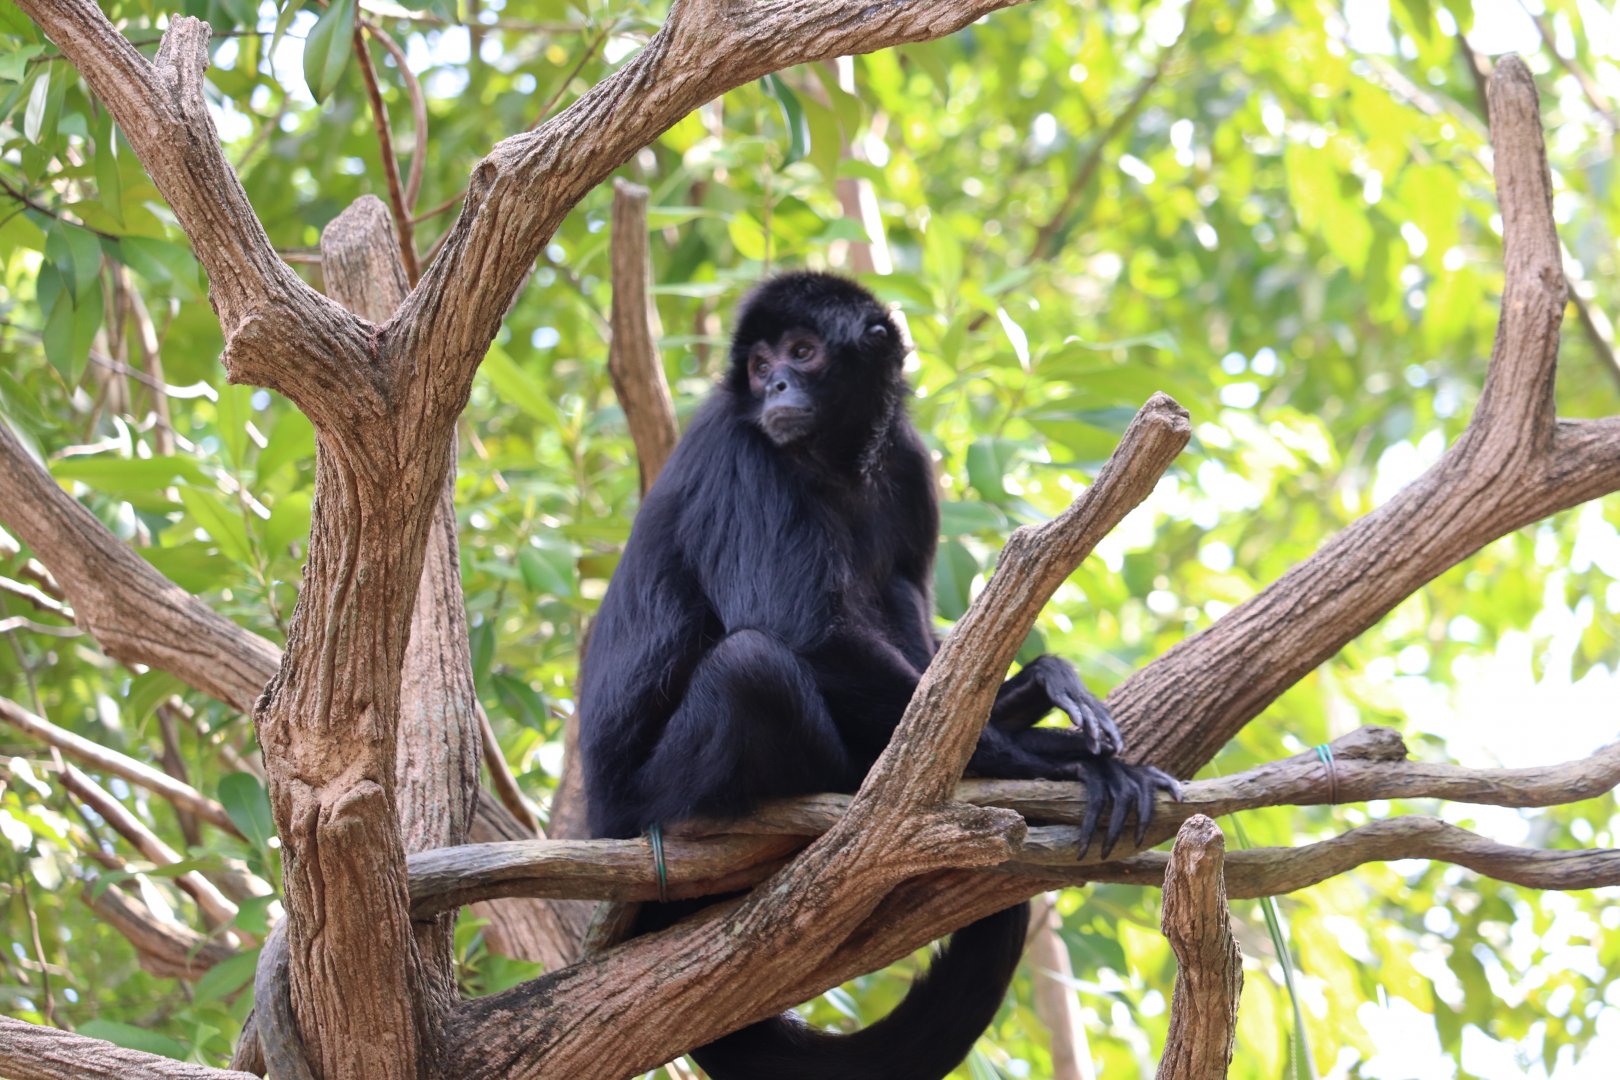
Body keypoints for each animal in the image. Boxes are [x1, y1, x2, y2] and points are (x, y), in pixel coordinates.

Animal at [579, 271, 1178, 1080]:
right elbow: (802, 632)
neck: (830, 462)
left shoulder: (907, 462)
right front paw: (1063, 761)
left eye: (802, 352)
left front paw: (1044, 686)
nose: (776, 384)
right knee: (752, 665)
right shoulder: (741, 451)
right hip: (647, 798)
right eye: (760, 363)